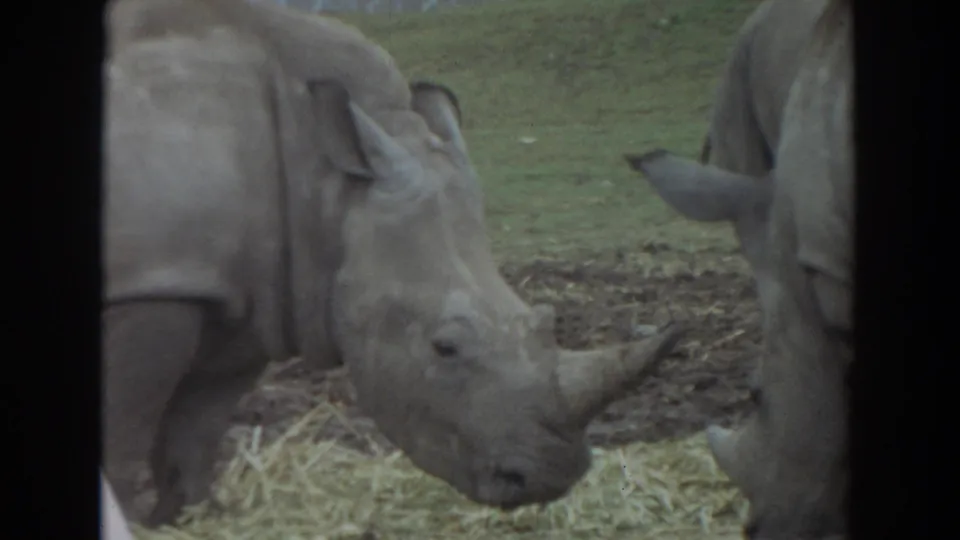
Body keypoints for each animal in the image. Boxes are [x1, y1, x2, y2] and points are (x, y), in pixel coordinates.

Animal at [104, 0, 685, 526]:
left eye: (545, 323)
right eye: (444, 348)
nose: (550, 477)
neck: (327, 184)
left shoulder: (244, 291)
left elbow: (195, 432)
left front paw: (192, 519)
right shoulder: (154, 279)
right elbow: (123, 433)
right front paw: (131, 523)